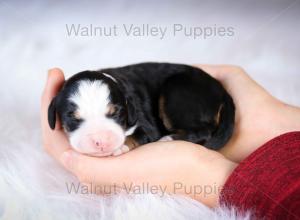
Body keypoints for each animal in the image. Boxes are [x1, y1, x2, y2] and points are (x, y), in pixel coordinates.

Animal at [47, 62, 234, 157]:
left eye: (116, 113)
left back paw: (168, 139)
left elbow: (137, 135)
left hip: (178, 94)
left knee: (202, 131)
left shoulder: (147, 125)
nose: (102, 141)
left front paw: (120, 146)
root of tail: (221, 89)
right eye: (72, 118)